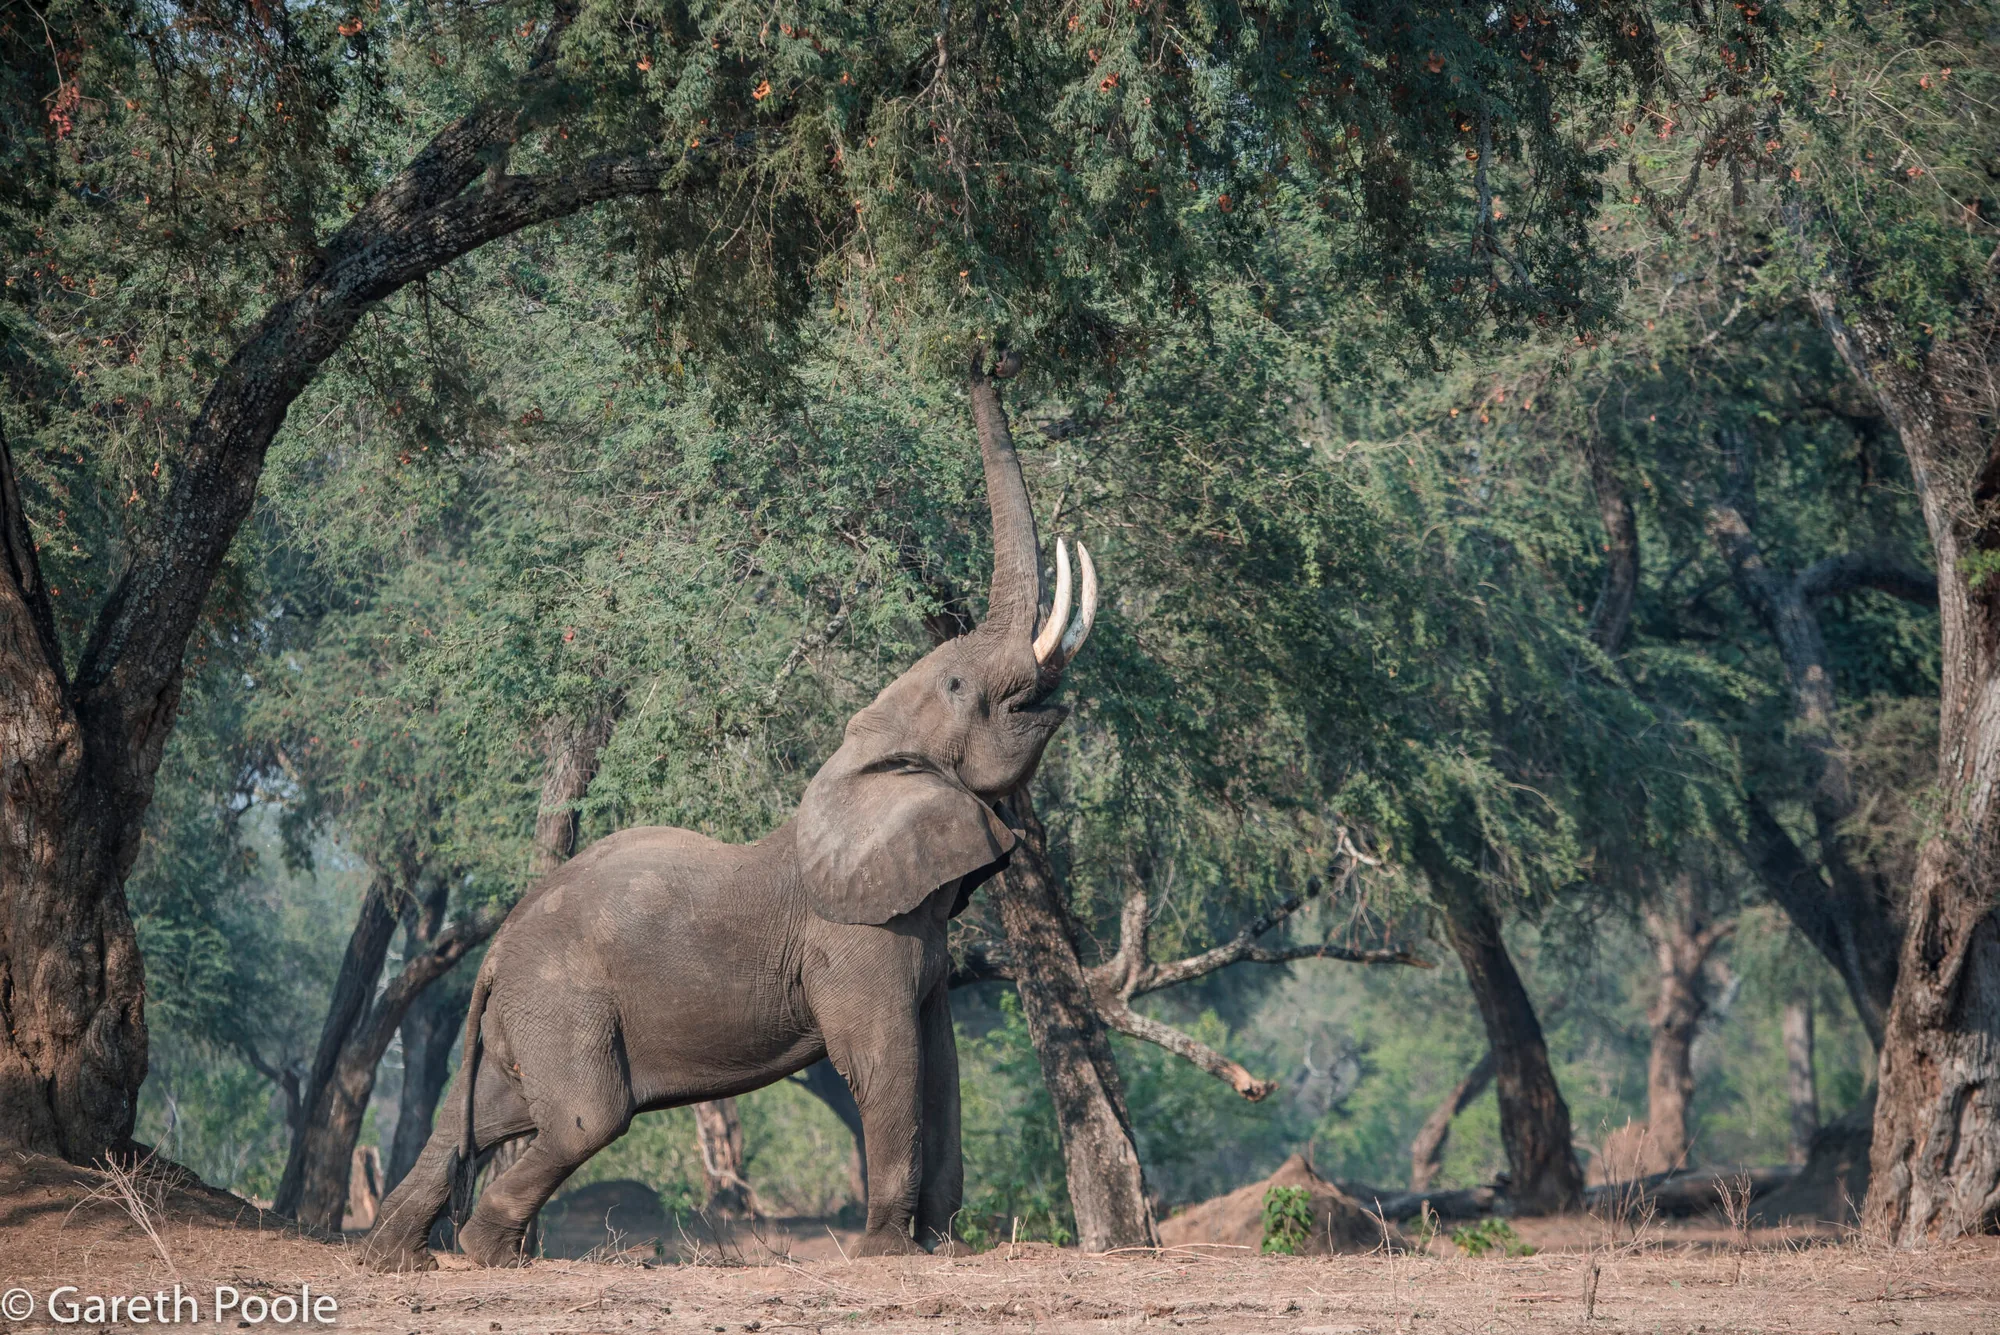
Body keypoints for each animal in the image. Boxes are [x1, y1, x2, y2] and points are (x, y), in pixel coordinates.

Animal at [361, 350, 1098, 1271]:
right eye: (960, 685)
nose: (981, 355)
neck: (860, 758)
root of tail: (492, 955)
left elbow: (941, 1061)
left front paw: (937, 1247)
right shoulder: (852, 938)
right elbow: (886, 1059)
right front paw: (886, 1254)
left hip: (532, 1013)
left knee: (488, 1117)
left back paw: (395, 1256)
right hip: (563, 1003)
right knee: (584, 1119)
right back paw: (486, 1251)